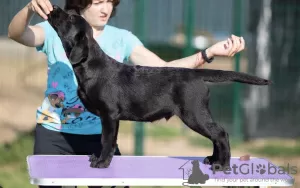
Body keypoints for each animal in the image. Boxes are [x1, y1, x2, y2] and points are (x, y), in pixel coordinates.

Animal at [47, 5, 272, 170]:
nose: (54, 7)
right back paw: (213, 159)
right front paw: (100, 159)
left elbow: (106, 139)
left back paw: (222, 164)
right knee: (216, 135)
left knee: (221, 134)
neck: (90, 65)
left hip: (193, 114)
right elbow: (108, 141)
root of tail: (195, 73)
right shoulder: (110, 117)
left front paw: (102, 163)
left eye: (70, 18)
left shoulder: (109, 114)